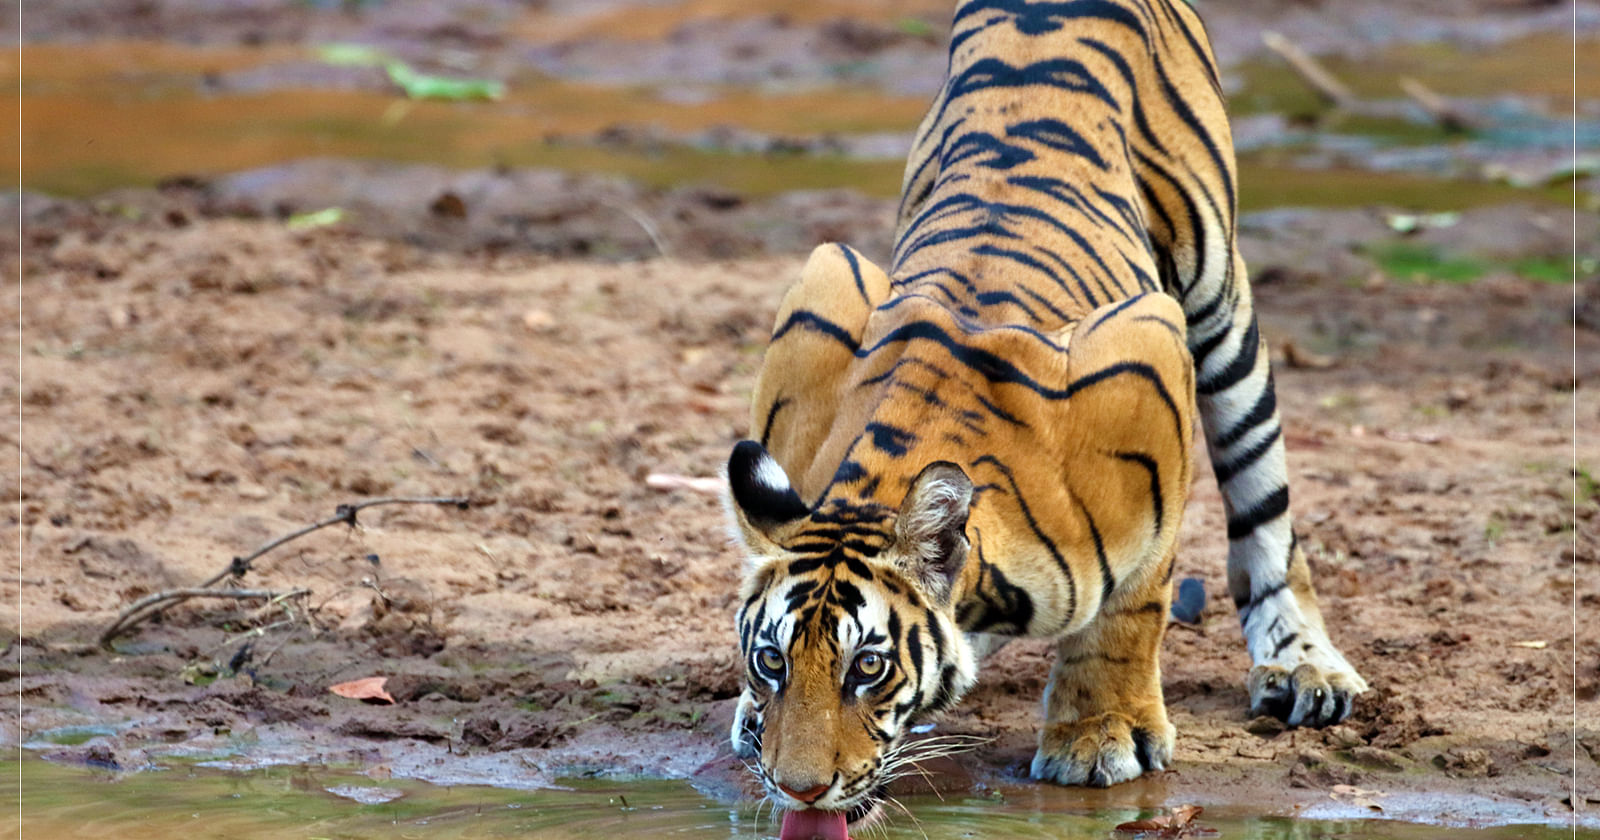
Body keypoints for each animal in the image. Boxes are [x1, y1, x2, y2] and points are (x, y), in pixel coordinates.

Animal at [726, 0, 1363, 832]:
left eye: (867, 667)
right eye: (772, 660)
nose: (797, 787)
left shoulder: (1148, 354)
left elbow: (1134, 601)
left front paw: (1099, 735)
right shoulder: (822, 293)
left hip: (1218, 304)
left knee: (1264, 505)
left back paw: (1303, 666)